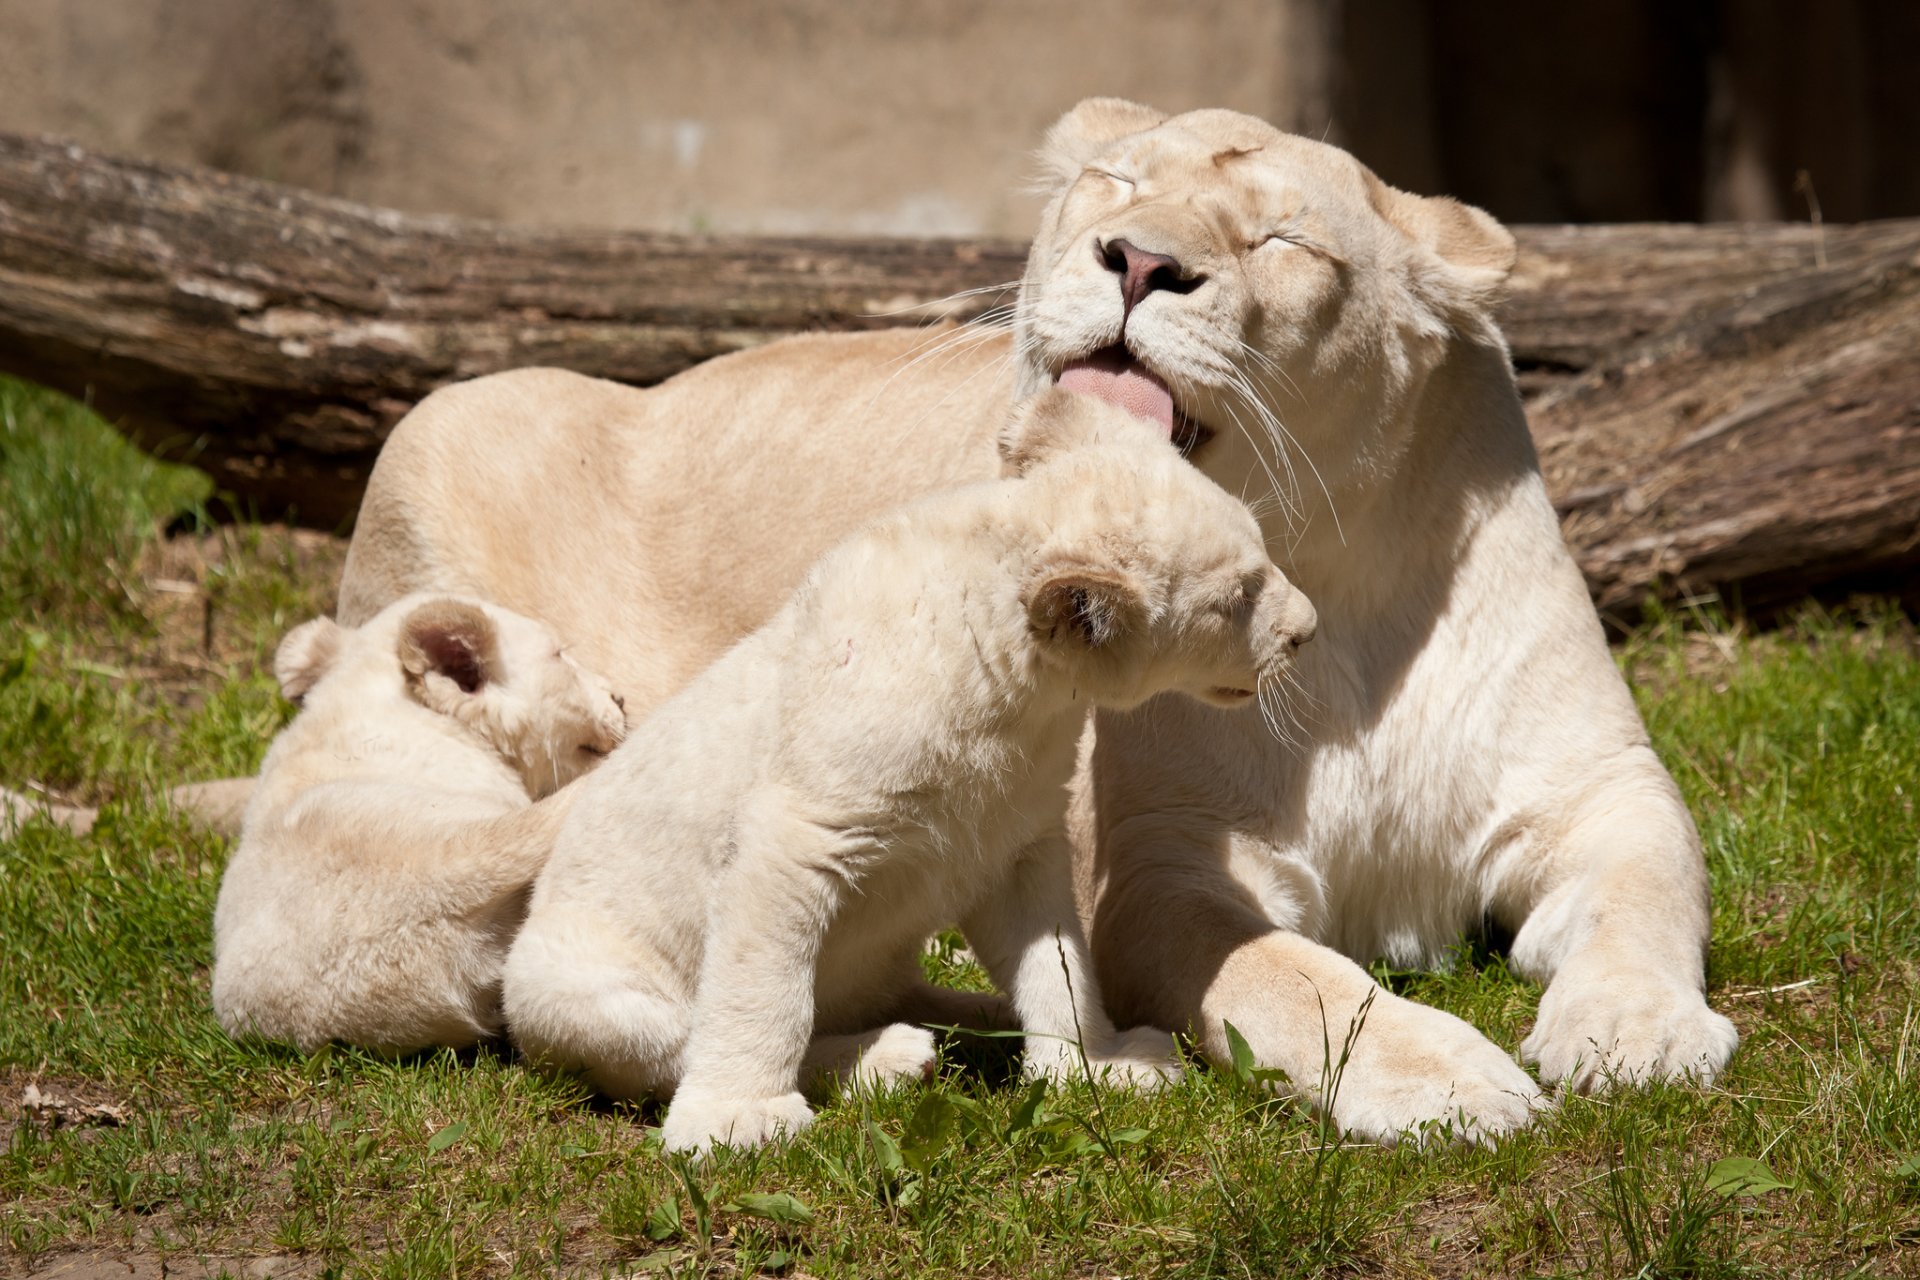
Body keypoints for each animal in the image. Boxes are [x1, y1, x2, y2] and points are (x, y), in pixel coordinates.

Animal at [503, 389, 1317, 1153]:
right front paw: (735, 1118)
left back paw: (975, 1022)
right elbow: (763, 991)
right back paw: (888, 1060)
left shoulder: (1015, 844)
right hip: (579, 995)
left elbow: (1060, 964)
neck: (1016, 702)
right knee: (682, 1041)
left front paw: (1096, 1063)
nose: (1307, 631)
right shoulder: (791, 839)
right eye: (1238, 599)